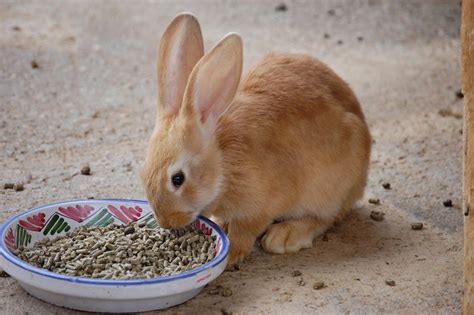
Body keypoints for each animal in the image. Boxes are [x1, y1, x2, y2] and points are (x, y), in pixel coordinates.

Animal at [141, 12, 370, 266]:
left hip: (330, 190)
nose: (166, 221)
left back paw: (284, 237)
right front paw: (221, 226)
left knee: (326, 218)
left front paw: (231, 253)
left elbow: (245, 229)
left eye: (178, 179)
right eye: (143, 172)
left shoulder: (263, 205)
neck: (223, 164)